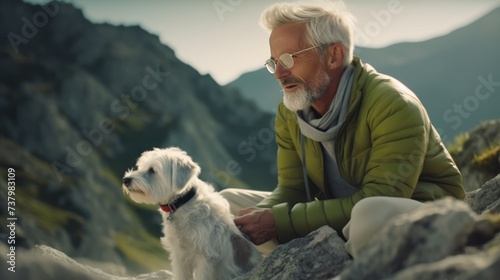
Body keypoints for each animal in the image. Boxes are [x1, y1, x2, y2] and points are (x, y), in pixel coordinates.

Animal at [121, 148, 262, 278]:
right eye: (140, 167)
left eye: (152, 170)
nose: (126, 180)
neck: (182, 203)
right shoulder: (180, 255)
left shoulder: (205, 257)